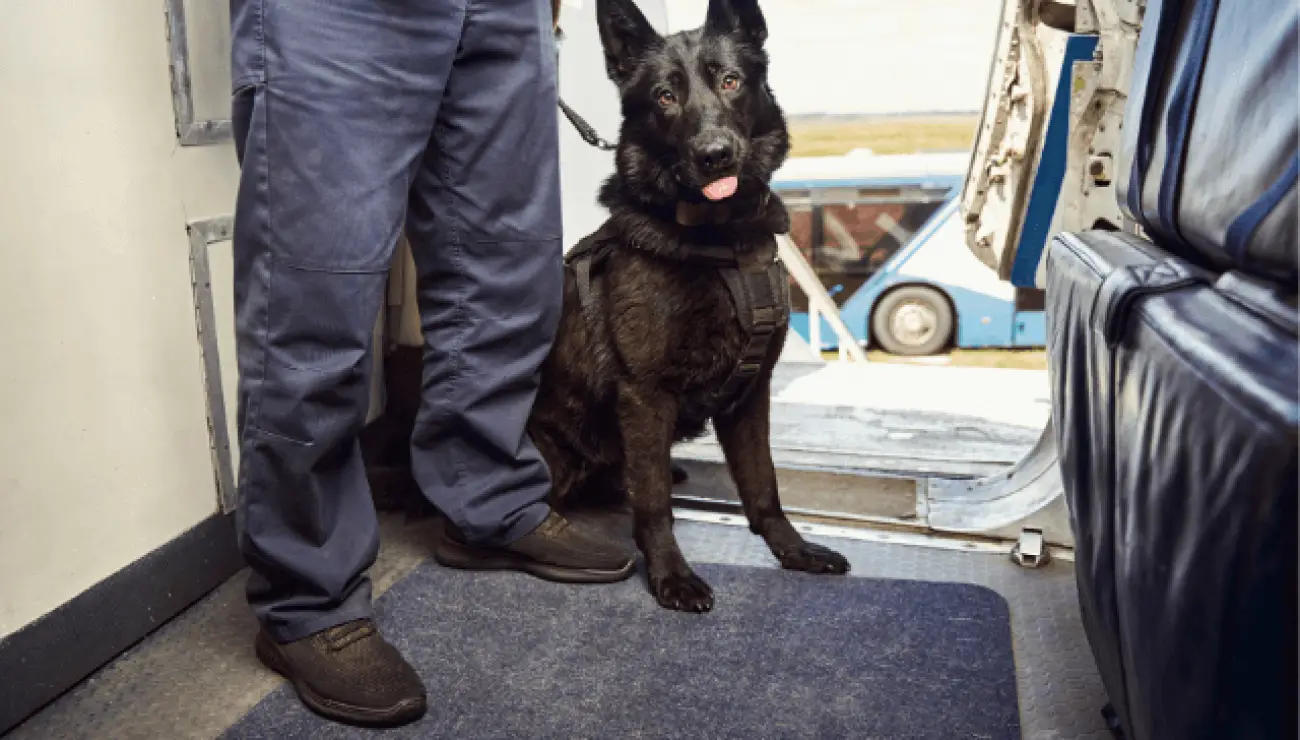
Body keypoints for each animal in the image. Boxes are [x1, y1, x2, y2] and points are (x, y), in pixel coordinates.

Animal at [527, 0, 852, 611]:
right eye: (664, 96)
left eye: (730, 81)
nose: (714, 155)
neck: (721, 241)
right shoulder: (645, 395)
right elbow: (655, 505)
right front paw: (670, 574)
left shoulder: (750, 396)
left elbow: (763, 484)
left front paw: (792, 549)